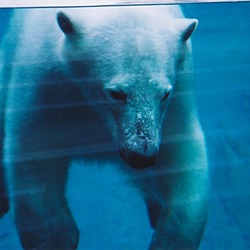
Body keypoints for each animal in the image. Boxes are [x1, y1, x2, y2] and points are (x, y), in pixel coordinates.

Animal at [0, 5, 207, 250]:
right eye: (116, 93)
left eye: (164, 94)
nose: (141, 156)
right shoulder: (45, 85)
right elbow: (36, 153)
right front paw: (59, 237)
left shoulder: (178, 100)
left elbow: (181, 157)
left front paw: (167, 239)